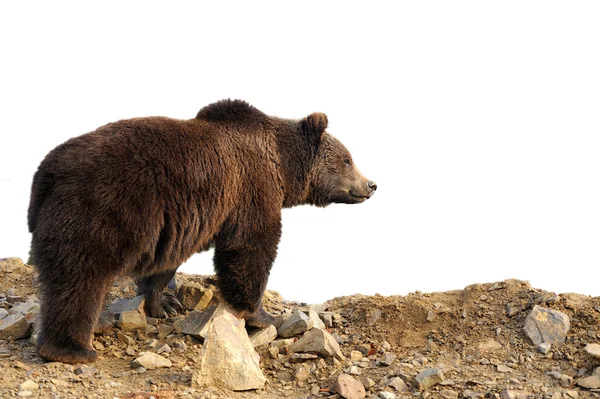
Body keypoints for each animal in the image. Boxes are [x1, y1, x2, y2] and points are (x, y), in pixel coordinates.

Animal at [29, 98, 376, 364]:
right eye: (347, 159)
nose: (371, 184)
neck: (282, 166)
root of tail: (46, 172)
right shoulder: (250, 189)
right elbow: (251, 248)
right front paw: (263, 316)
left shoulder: (179, 221)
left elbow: (165, 263)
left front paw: (165, 304)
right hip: (101, 209)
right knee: (81, 278)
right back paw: (72, 348)